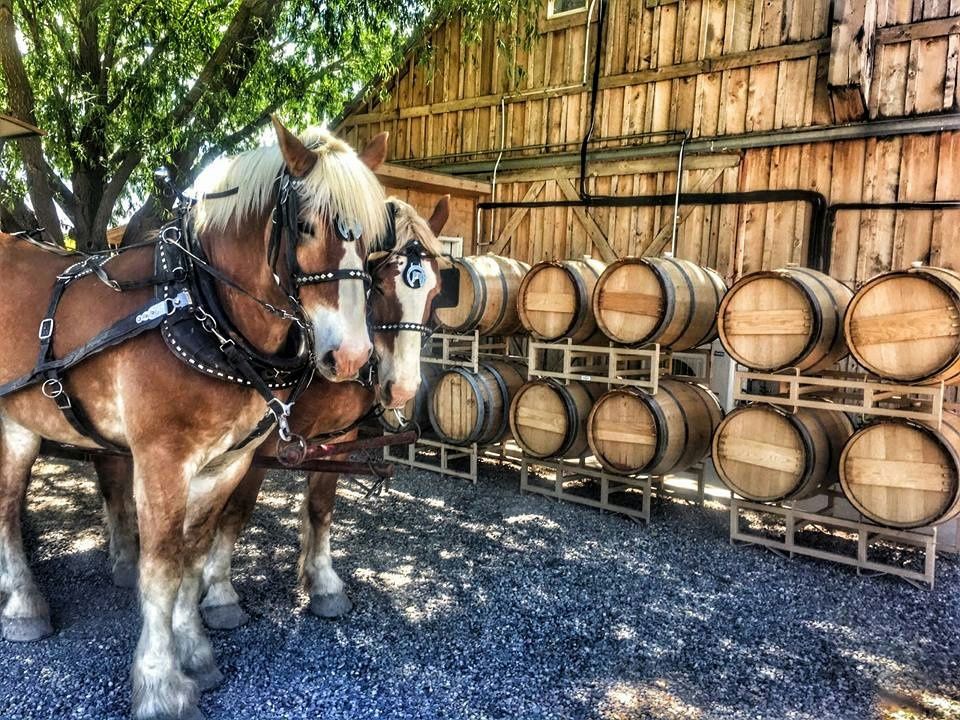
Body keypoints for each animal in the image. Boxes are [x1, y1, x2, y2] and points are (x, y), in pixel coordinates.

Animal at [0, 118, 388, 720]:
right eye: (303, 226)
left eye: (370, 238)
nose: (348, 357)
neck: (202, 311)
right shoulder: (162, 461)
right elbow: (161, 571)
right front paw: (161, 684)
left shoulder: (225, 464)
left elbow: (193, 556)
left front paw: (196, 654)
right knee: (6, 512)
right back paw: (23, 605)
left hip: (21, 422)